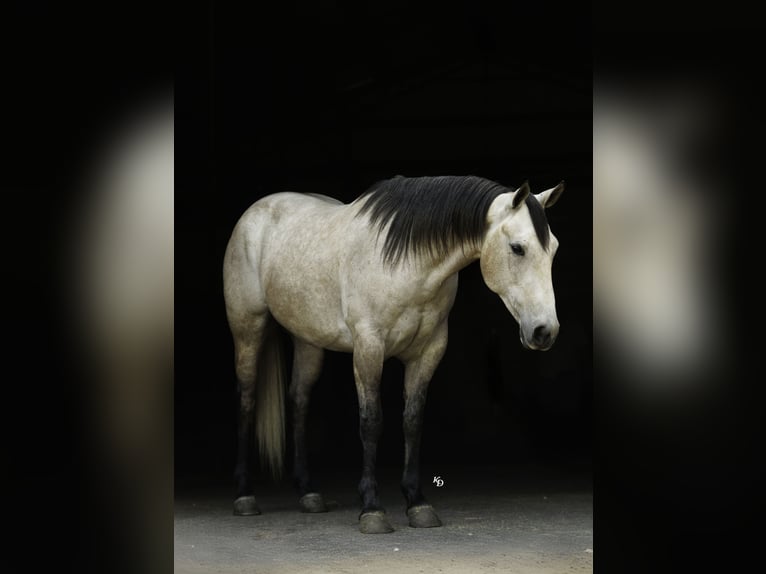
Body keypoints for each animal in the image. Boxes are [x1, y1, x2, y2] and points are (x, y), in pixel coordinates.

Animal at [223, 175, 565, 534]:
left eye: (553, 249)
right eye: (517, 248)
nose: (545, 331)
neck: (407, 264)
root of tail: (257, 211)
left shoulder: (428, 352)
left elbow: (412, 421)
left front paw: (417, 503)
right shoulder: (369, 347)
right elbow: (371, 422)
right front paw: (372, 509)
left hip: (308, 340)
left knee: (299, 401)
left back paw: (308, 493)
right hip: (248, 328)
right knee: (246, 399)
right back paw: (245, 496)